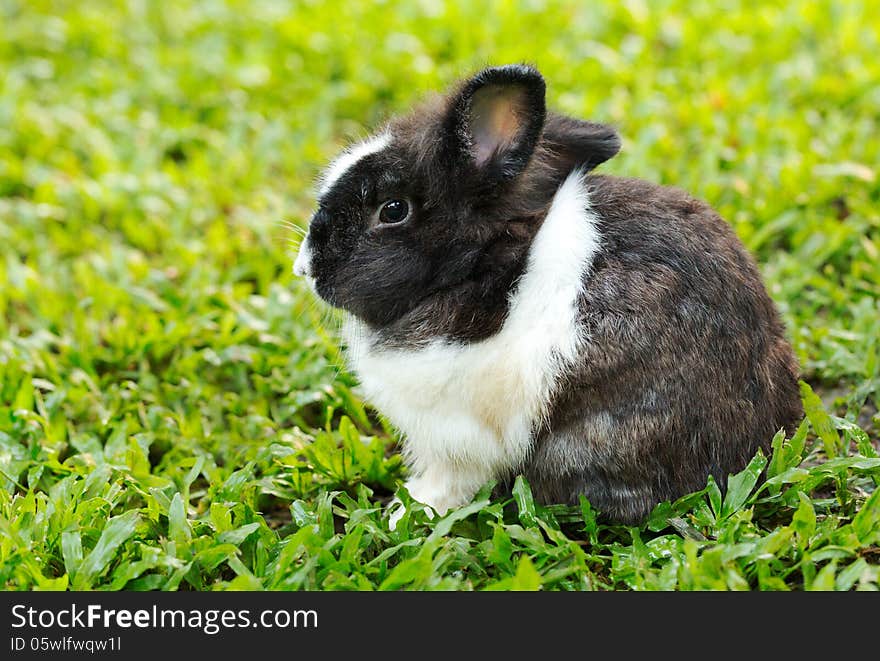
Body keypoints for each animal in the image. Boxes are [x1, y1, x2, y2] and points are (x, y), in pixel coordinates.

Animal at [294, 63, 804, 524]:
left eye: (393, 210)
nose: (304, 268)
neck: (476, 265)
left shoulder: (455, 435)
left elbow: (446, 481)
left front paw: (408, 510)